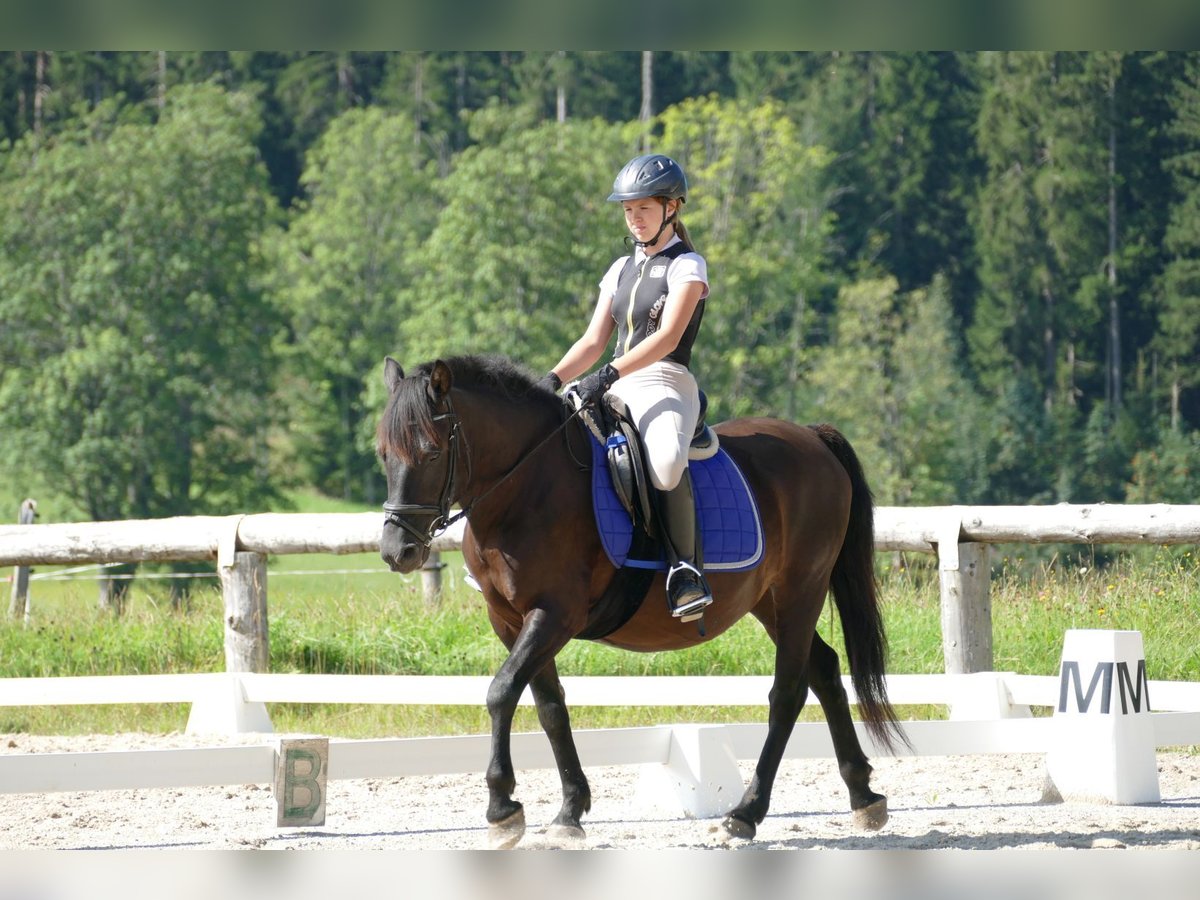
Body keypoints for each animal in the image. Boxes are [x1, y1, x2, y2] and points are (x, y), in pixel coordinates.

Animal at [379, 355, 902, 849]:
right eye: (384, 454)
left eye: (430, 452)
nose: (396, 552)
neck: (527, 490)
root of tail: (812, 437)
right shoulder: (509, 620)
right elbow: (549, 707)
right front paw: (569, 812)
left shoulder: (554, 615)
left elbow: (501, 691)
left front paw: (502, 808)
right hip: (770, 601)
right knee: (825, 670)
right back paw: (864, 796)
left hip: (800, 589)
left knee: (788, 692)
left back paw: (746, 813)